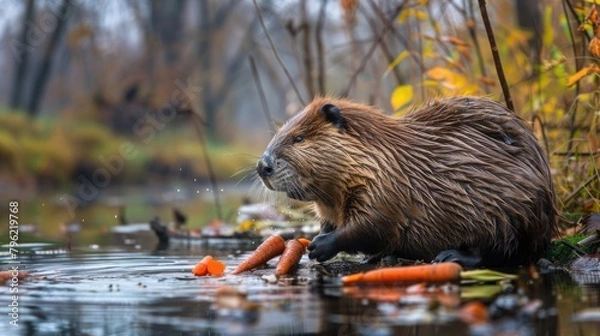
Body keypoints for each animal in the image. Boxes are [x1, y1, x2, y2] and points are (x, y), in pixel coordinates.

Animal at [254, 96, 556, 266]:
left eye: (299, 138)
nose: (262, 165)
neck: (387, 156)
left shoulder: (384, 188)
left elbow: (373, 225)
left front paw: (319, 246)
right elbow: (334, 221)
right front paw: (320, 235)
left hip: (513, 212)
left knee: (506, 250)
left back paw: (451, 256)